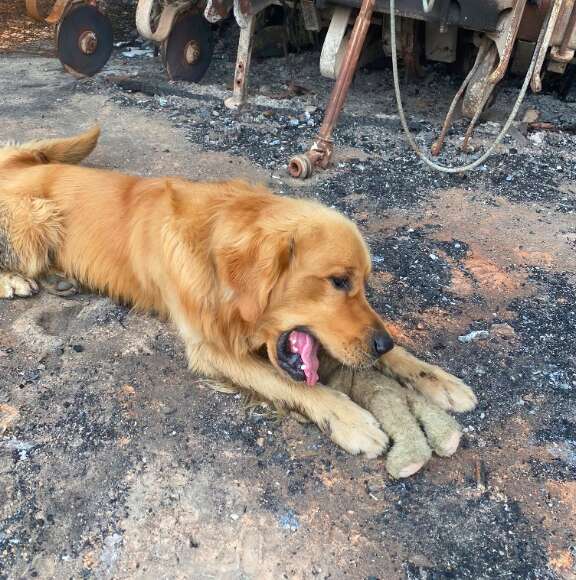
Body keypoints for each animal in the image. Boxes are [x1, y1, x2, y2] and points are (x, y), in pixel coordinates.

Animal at [0, 127, 476, 458]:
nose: (382, 343)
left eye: (362, 284)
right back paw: (15, 280)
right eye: (338, 281)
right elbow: (295, 384)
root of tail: (14, 164)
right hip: (37, 221)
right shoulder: (211, 346)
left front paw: (437, 379)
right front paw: (350, 418)